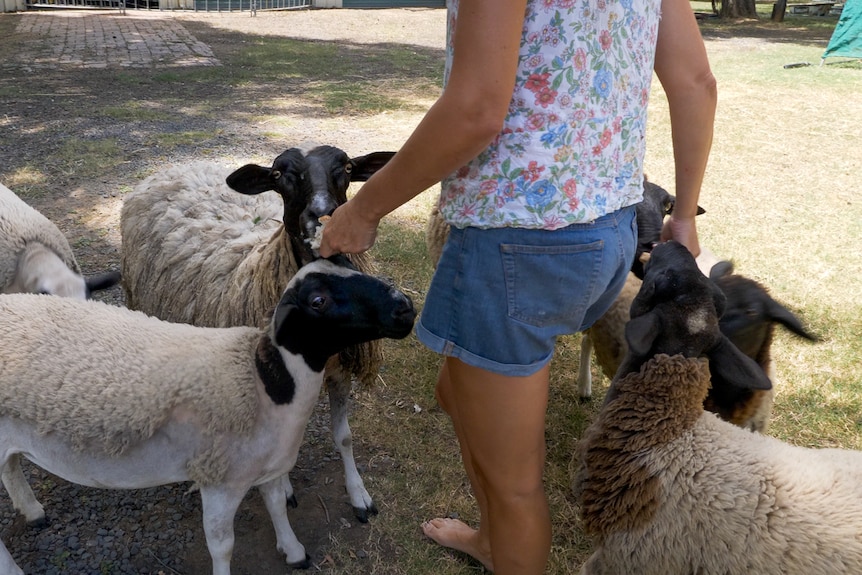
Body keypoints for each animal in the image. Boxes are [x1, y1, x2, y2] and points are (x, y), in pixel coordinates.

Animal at [0, 258, 418, 575]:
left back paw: (32, 511)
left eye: (350, 264)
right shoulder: (219, 478)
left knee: (11, 467)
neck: (266, 384)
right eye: (318, 300)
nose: (405, 307)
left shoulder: (266, 467)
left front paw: (294, 550)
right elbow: (222, 546)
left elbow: (276, 506)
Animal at [120, 144, 396, 520]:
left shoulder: (340, 371)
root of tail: (175, 168)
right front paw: (285, 489)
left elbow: (344, 437)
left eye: (348, 167)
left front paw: (359, 495)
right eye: (279, 175)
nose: (322, 215)